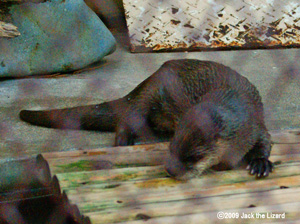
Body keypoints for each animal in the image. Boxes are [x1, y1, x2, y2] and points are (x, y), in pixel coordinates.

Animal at [18, 59, 272, 178]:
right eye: (171, 147)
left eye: (194, 156)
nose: (170, 170)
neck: (234, 99)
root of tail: (144, 82)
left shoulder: (256, 124)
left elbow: (265, 143)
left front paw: (260, 163)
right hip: (149, 96)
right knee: (127, 119)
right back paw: (125, 142)